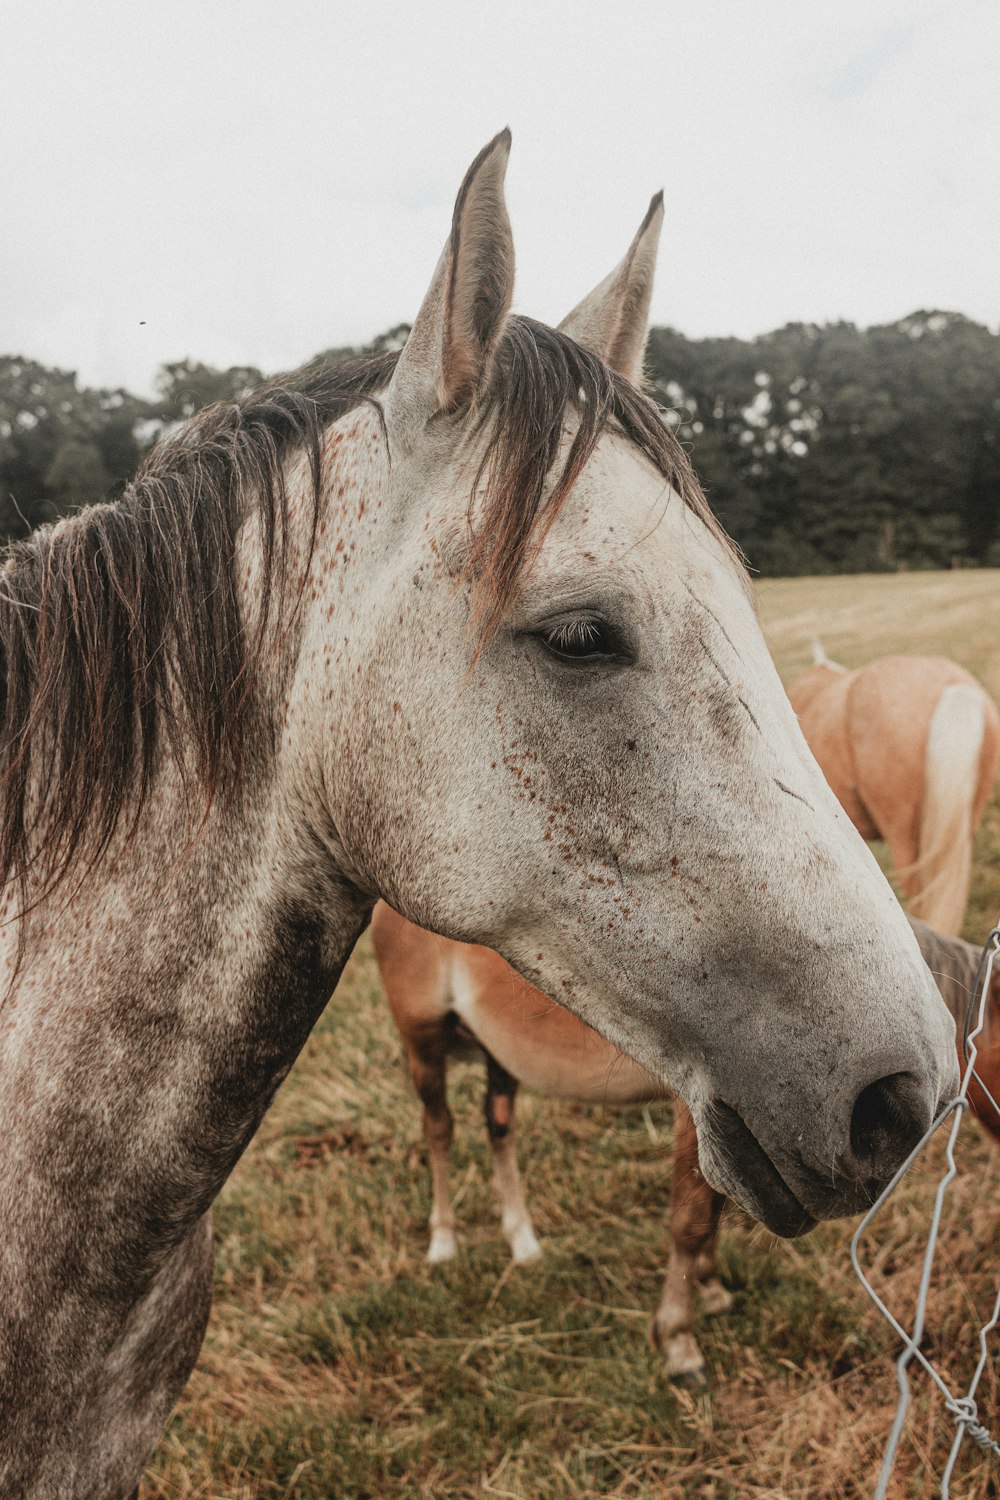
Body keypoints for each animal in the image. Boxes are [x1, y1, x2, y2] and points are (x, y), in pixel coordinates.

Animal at [374, 900, 1000, 1380]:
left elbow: (717, 1207)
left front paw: (711, 1288)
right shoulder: (699, 1116)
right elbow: (693, 1220)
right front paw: (679, 1340)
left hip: (498, 1057)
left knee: (498, 1125)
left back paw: (523, 1240)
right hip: (422, 1044)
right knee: (439, 1129)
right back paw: (444, 1241)